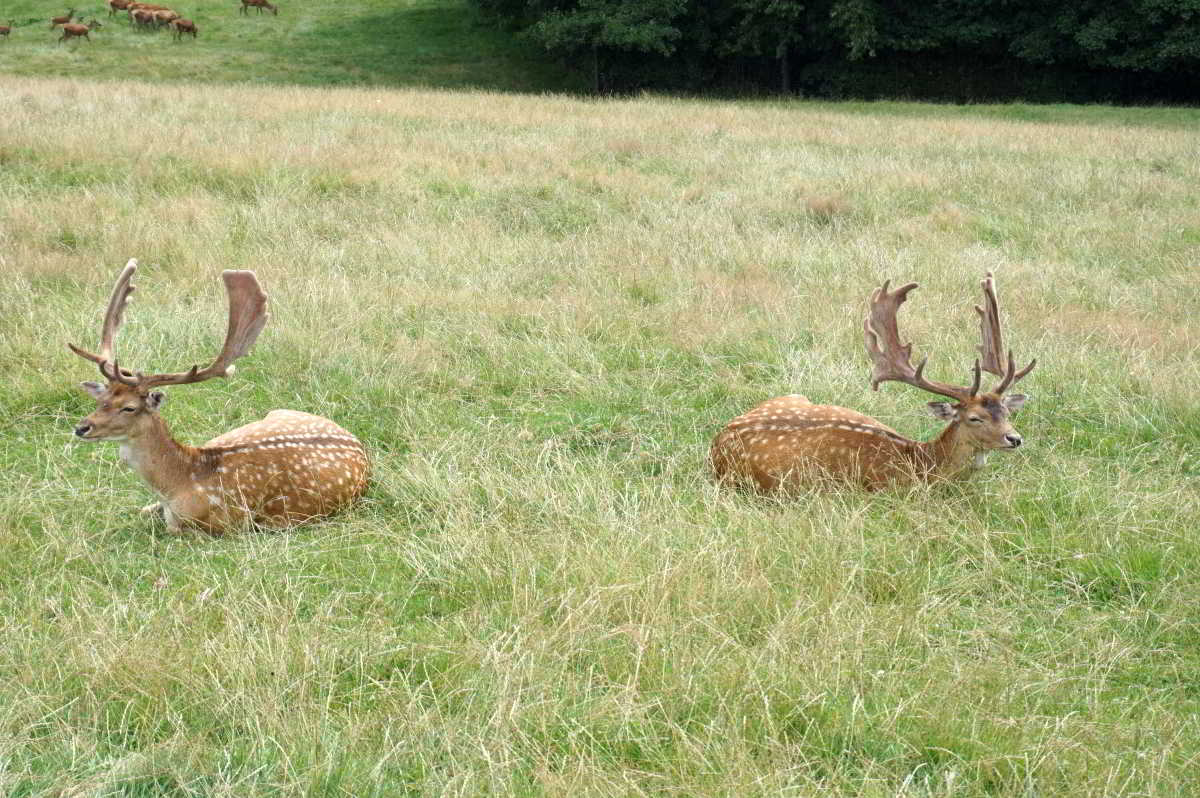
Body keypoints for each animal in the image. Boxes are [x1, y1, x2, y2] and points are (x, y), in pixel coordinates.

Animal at [71, 262, 369, 535]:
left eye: (129, 408)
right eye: (101, 399)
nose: (82, 427)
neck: (178, 484)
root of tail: (359, 445)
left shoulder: (224, 525)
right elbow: (142, 510)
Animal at [705, 272, 1036, 492]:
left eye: (1006, 411)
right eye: (974, 418)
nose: (1015, 438)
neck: (920, 465)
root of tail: (718, 440)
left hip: (794, 395)